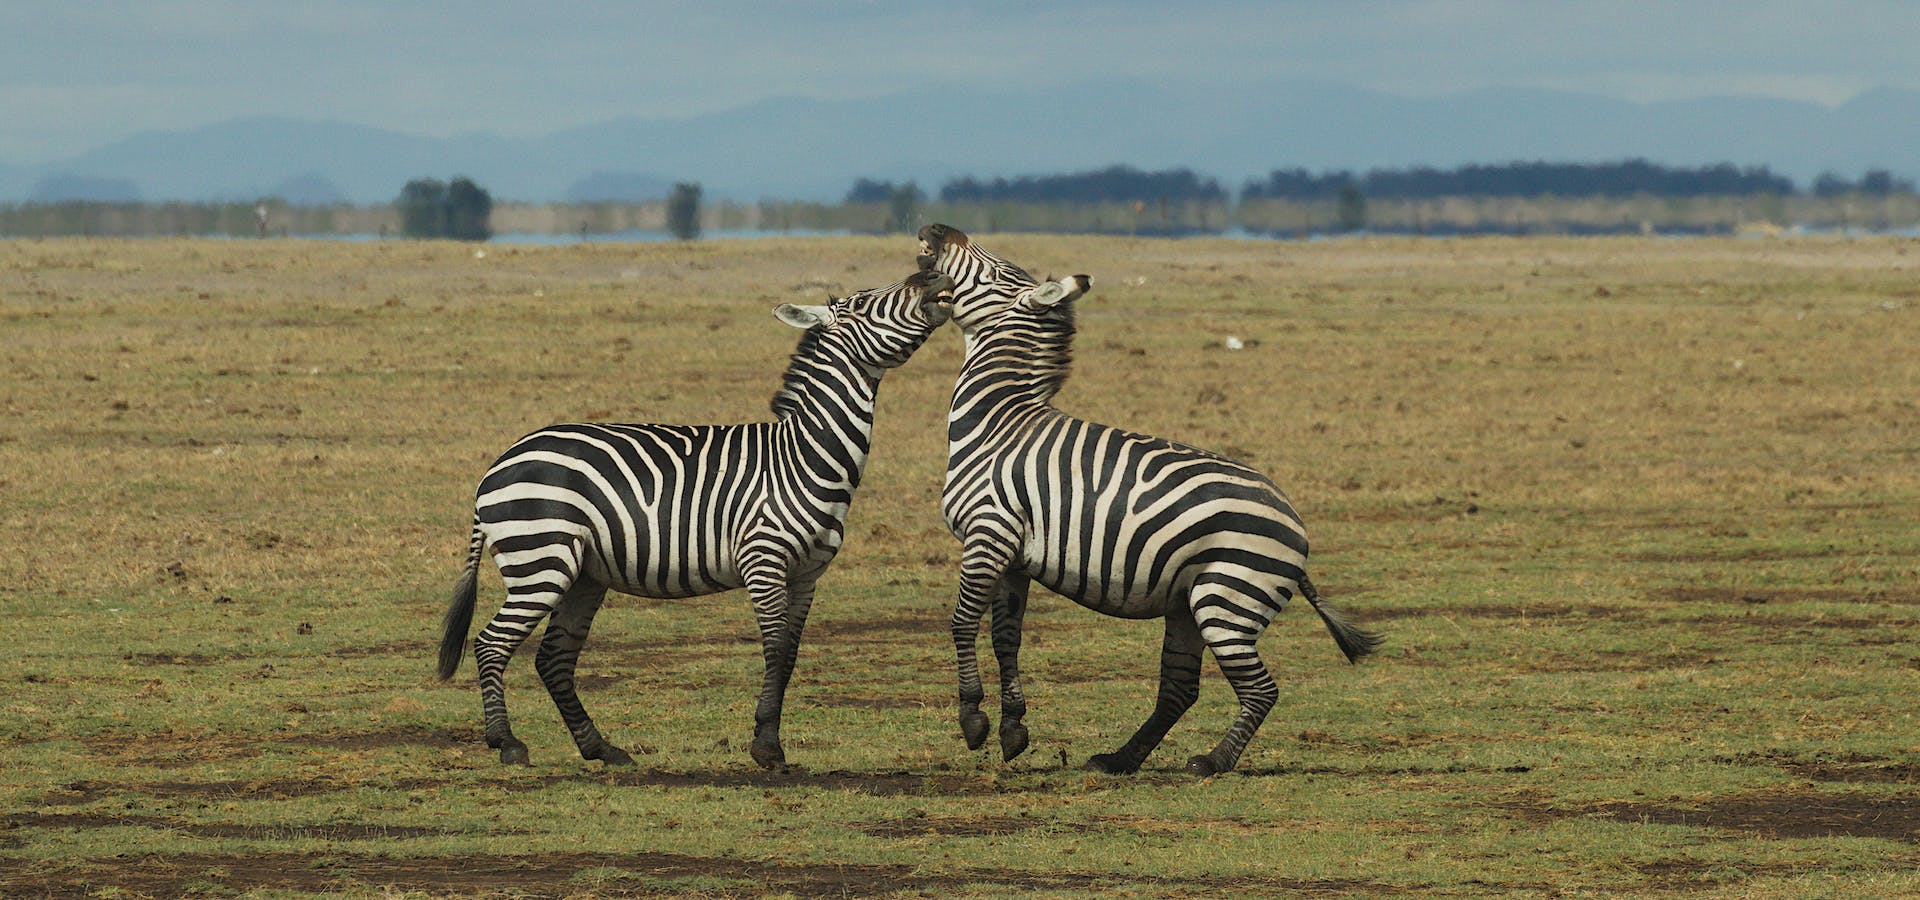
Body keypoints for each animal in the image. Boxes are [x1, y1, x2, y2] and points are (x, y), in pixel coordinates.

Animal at [439, 270, 956, 767]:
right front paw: (766, 747)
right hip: (541, 562)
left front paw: (769, 737)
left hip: (583, 574)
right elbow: (774, 649)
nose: (933, 276)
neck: (802, 456)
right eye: (866, 302)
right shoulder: (763, 561)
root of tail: (498, 464)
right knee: (491, 644)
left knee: (553, 658)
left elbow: (790, 653)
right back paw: (506, 743)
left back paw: (600, 748)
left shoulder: (808, 574)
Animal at [913, 222, 1382, 771]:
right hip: (1188, 602)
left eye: (991, 269)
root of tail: (1295, 524)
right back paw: (1120, 760)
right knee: (1180, 689)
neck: (997, 424)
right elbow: (1006, 638)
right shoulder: (1011, 555)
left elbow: (962, 622)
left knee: (1261, 690)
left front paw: (974, 720)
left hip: (1226, 601)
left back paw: (1212, 762)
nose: (934, 230)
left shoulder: (988, 533)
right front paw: (1014, 729)